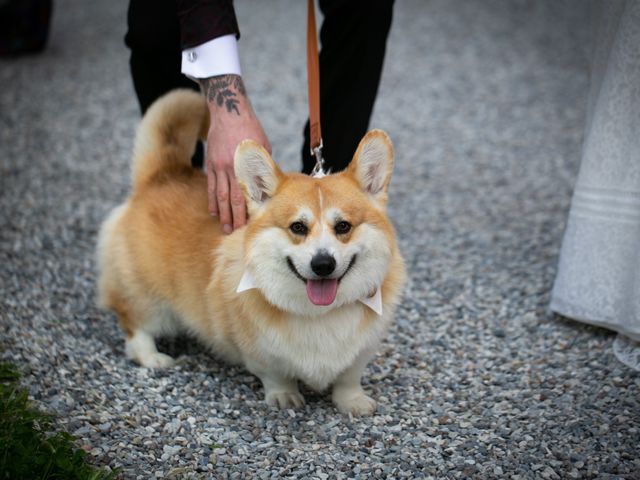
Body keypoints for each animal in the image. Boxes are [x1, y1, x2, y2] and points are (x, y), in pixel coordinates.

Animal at [95, 89, 404, 412]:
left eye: (343, 226)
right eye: (297, 227)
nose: (323, 264)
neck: (321, 313)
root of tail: (162, 173)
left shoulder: (363, 349)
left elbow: (349, 377)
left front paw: (353, 402)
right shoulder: (259, 350)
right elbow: (275, 373)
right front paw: (284, 395)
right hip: (147, 297)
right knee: (134, 323)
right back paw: (152, 357)